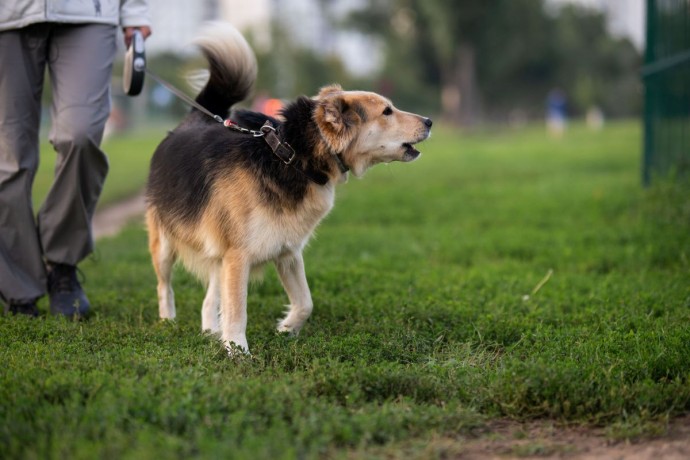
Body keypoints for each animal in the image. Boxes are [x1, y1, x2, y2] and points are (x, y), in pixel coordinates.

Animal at [144, 21, 430, 354]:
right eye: (387, 112)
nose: (430, 121)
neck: (292, 156)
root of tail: (192, 122)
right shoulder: (237, 256)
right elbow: (237, 309)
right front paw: (238, 351)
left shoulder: (287, 250)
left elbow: (305, 302)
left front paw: (286, 328)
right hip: (165, 243)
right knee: (164, 285)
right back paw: (168, 322)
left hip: (216, 251)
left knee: (208, 298)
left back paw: (209, 331)